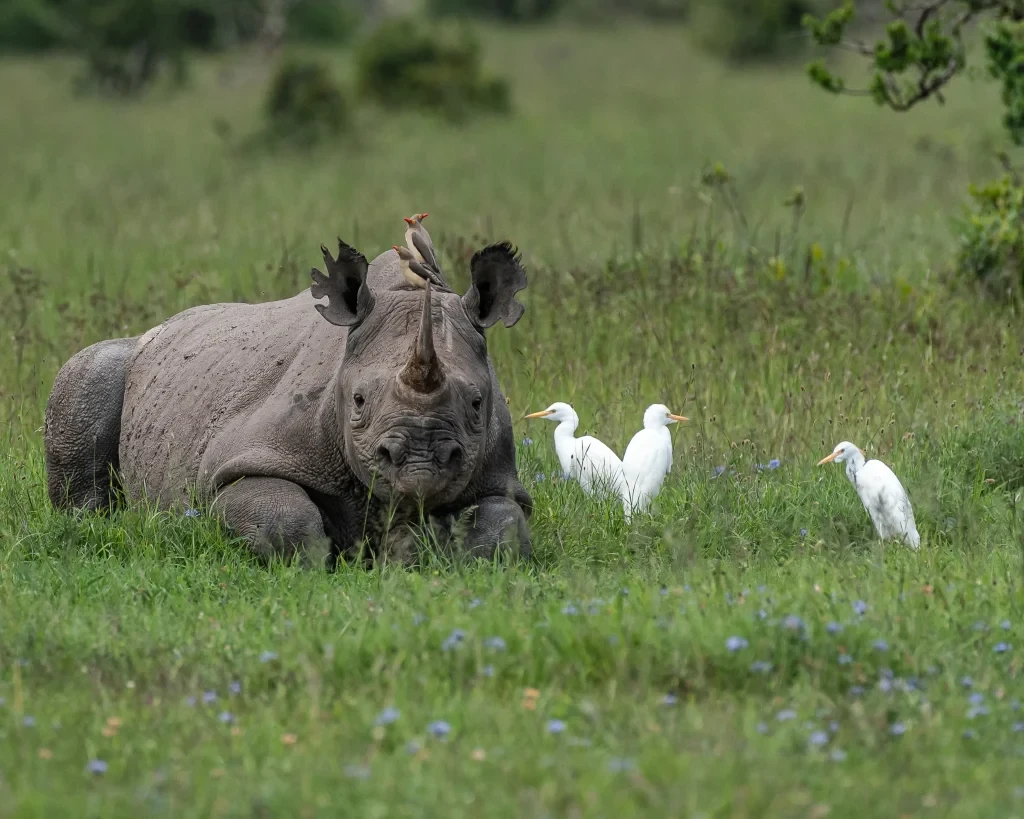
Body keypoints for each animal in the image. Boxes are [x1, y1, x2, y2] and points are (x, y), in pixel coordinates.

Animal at [43, 234, 533, 563]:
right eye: (357, 401)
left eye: (476, 404)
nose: (420, 465)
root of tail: (161, 326)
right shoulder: (246, 457)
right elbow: (285, 520)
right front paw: (316, 564)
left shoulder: (497, 475)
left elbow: (503, 527)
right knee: (90, 371)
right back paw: (95, 524)